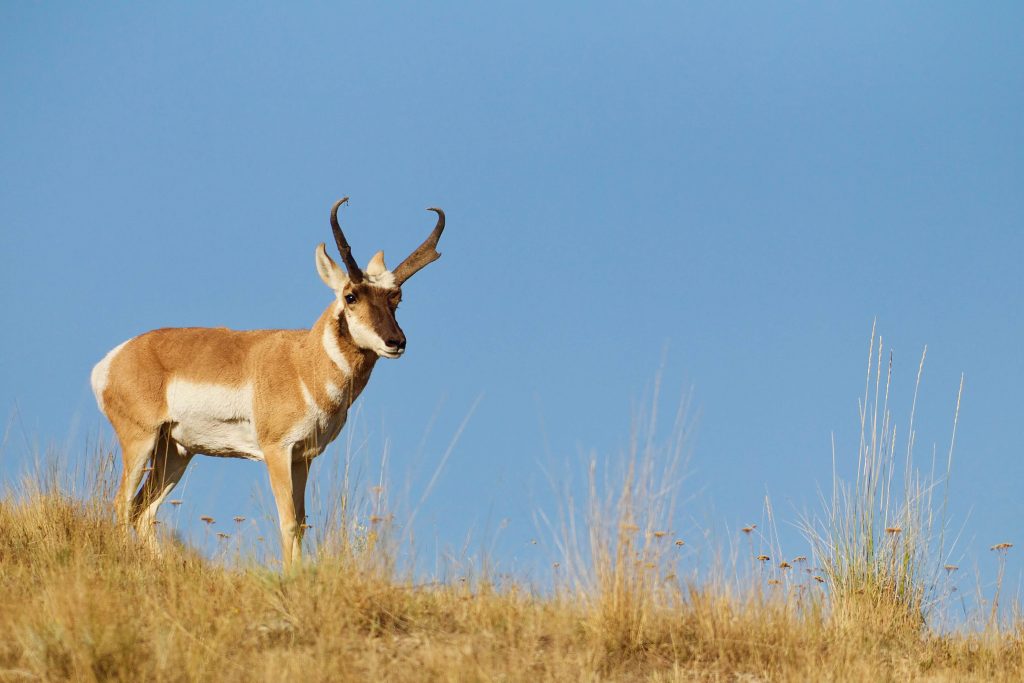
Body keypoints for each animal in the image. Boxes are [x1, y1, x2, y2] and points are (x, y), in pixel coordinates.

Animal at [90, 197, 445, 570]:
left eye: (397, 298)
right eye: (351, 296)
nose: (396, 342)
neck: (303, 362)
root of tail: (115, 357)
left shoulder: (303, 458)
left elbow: (301, 524)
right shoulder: (277, 452)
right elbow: (287, 522)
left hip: (176, 452)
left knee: (143, 512)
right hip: (141, 441)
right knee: (122, 503)